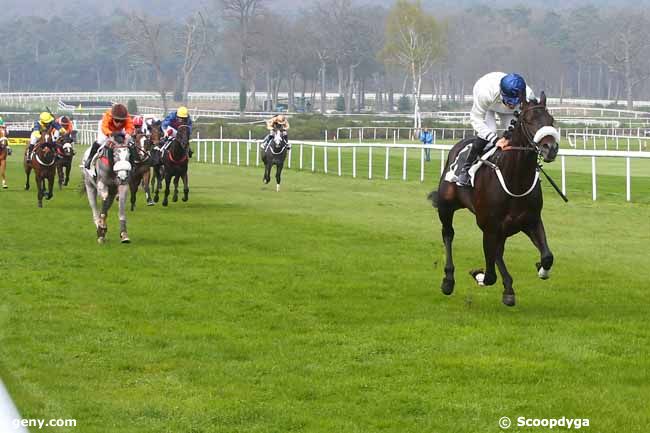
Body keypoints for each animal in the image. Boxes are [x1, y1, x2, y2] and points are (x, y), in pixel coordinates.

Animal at [428, 91, 560, 306]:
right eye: (528, 120)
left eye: (551, 120)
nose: (551, 147)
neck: (515, 180)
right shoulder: (489, 227)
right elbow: (489, 275)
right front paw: (478, 275)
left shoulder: (531, 221)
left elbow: (548, 256)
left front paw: (541, 269)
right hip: (447, 206)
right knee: (448, 234)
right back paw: (448, 280)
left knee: (498, 251)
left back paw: (508, 287)